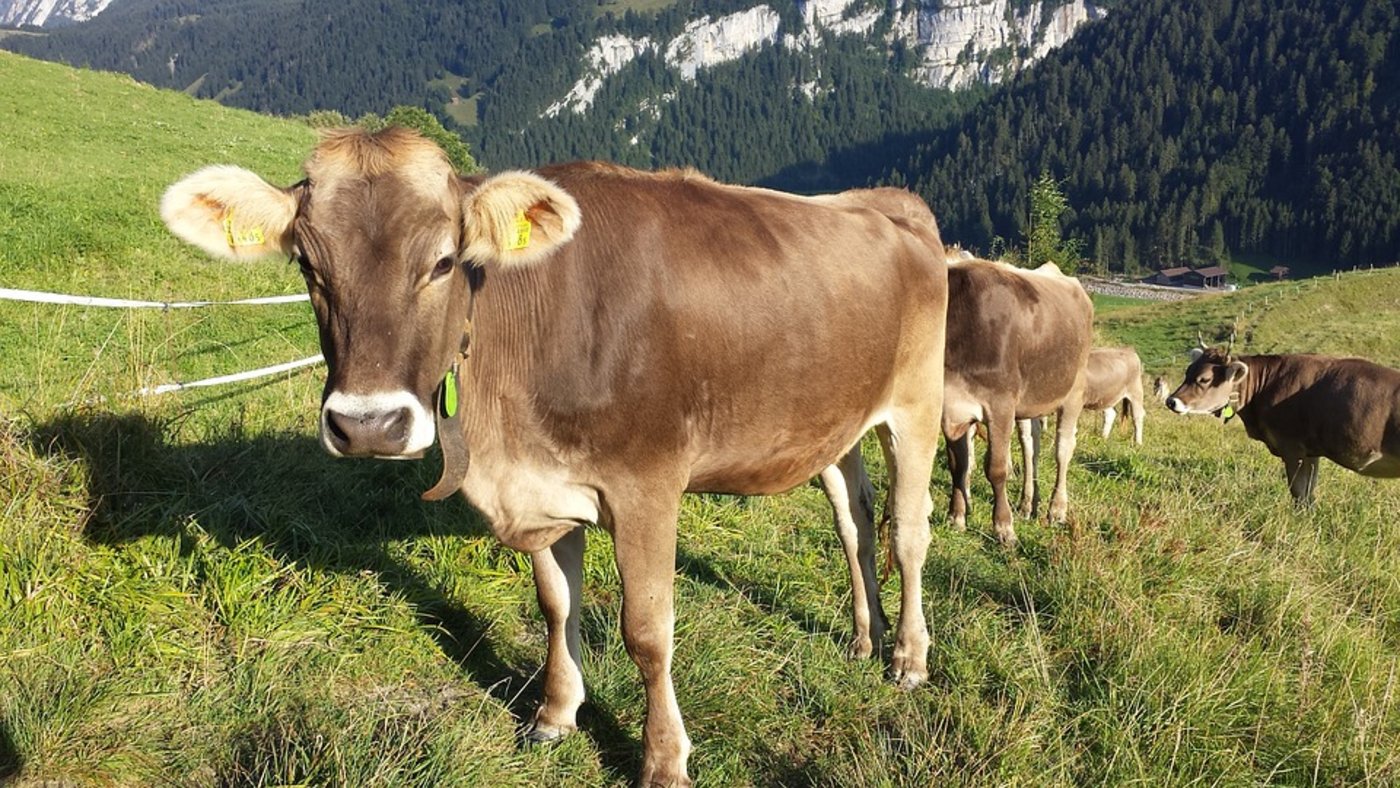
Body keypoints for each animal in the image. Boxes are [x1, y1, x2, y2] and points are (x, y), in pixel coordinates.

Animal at [159, 126, 949, 787]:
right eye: (309, 265)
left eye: (443, 261)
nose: (369, 425)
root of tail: (891, 201)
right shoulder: (538, 484)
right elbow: (554, 602)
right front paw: (556, 714)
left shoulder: (647, 485)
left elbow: (647, 632)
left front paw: (664, 759)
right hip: (833, 419)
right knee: (854, 521)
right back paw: (864, 637)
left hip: (915, 404)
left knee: (909, 533)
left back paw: (908, 659)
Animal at [941, 258, 1094, 546]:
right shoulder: (950, 411)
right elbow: (958, 466)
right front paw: (956, 518)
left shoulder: (1000, 404)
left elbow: (996, 469)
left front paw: (1003, 527)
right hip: (1029, 403)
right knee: (1031, 446)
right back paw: (1028, 504)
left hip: (1074, 390)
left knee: (1063, 449)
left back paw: (1056, 509)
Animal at [1165, 341, 1400, 504]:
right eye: (1187, 372)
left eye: (1204, 379)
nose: (1171, 401)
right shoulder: (1311, 452)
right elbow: (1309, 493)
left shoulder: (1291, 447)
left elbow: (1298, 492)